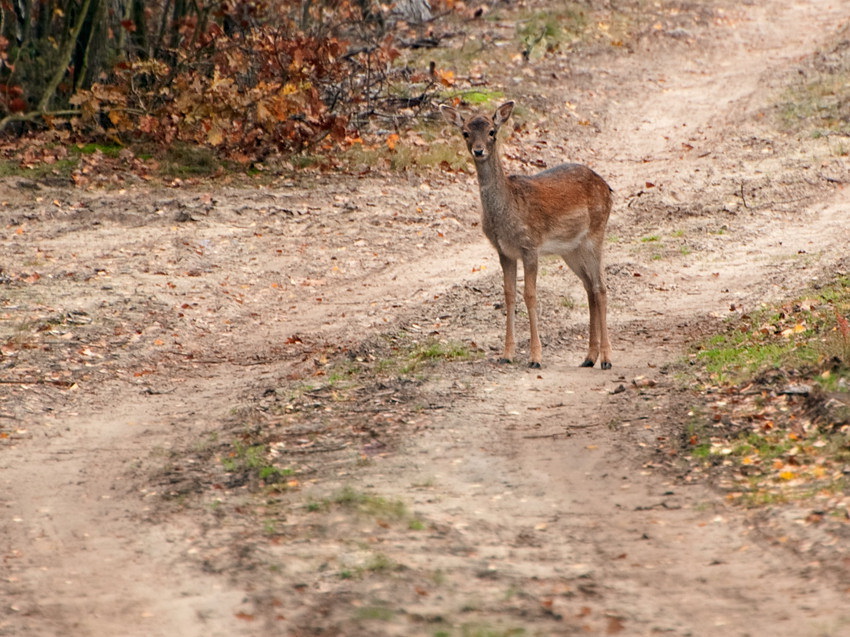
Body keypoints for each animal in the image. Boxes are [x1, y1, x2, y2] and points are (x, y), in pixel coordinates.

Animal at [440, 99, 612, 368]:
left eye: (492, 132)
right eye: (465, 132)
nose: (479, 150)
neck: (507, 209)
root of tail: (608, 188)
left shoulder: (530, 246)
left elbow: (530, 295)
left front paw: (535, 357)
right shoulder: (504, 251)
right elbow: (509, 294)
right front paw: (506, 354)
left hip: (596, 233)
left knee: (601, 288)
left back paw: (605, 359)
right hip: (571, 249)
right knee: (589, 288)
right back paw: (588, 357)